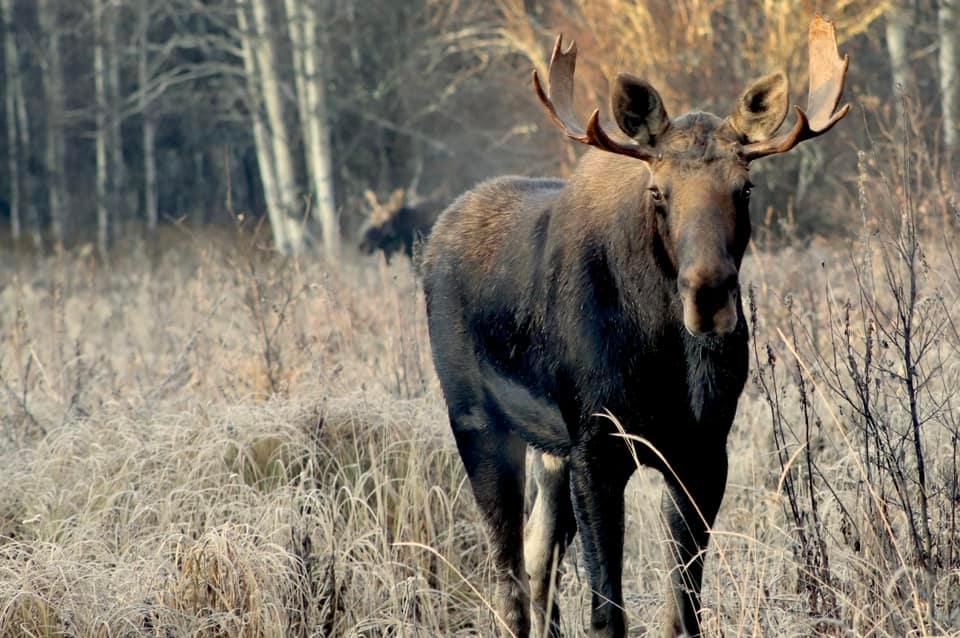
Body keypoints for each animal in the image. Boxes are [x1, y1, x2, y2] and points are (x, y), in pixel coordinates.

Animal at [421, 14, 849, 638]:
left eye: (744, 187)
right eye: (658, 192)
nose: (710, 298)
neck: (664, 364)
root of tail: (432, 241)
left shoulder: (702, 450)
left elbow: (684, 610)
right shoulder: (597, 448)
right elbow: (607, 613)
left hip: (549, 448)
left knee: (537, 558)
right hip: (477, 421)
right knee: (509, 575)